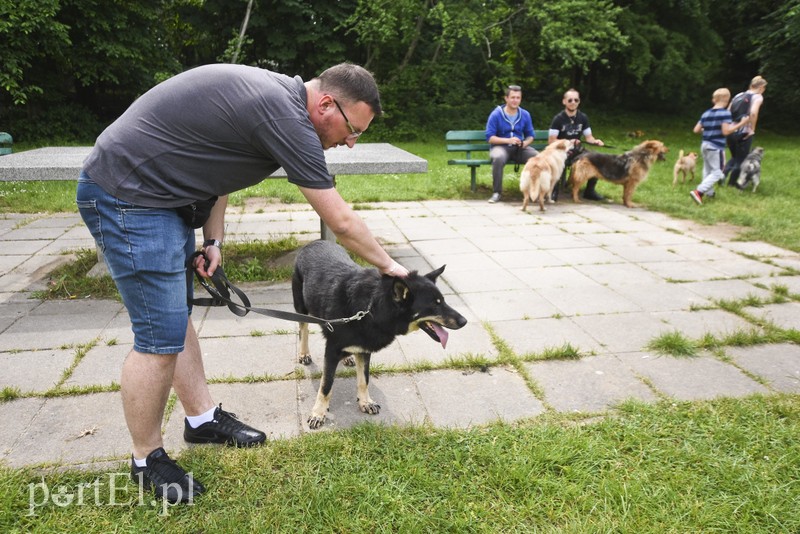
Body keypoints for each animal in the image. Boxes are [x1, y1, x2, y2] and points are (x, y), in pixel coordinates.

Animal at [290, 242, 466, 432]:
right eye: (434, 305)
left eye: (443, 300)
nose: (464, 321)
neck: (371, 307)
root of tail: (313, 242)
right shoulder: (331, 351)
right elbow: (326, 386)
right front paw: (318, 413)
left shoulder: (364, 349)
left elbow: (364, 379)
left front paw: (365, 402)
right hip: (301, 307)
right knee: (303, 329)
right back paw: (304, 353)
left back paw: (347, 358)